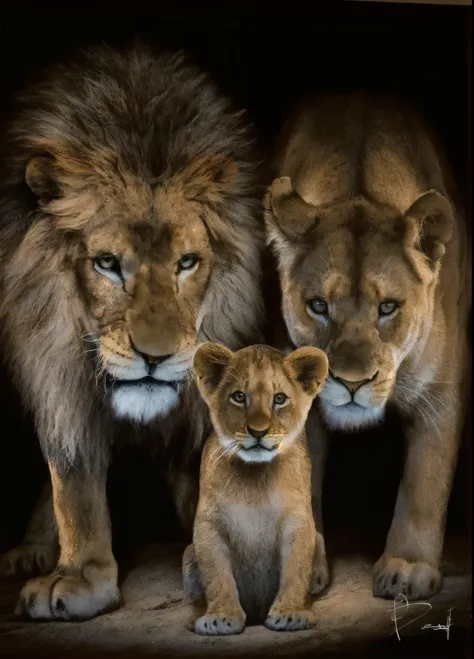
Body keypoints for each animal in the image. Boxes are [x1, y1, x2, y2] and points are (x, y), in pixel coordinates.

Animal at [0, 43, 262, 620]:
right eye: (107, 263)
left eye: (187, 263)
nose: (155, 358)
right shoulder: (57, 369)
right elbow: (72, 482)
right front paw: (80, 577)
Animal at [264, 93, 472, 604]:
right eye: (319, 306)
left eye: (388, 307)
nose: (352, 383)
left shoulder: (442, 392)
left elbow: (425, 481)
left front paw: (408, 568)